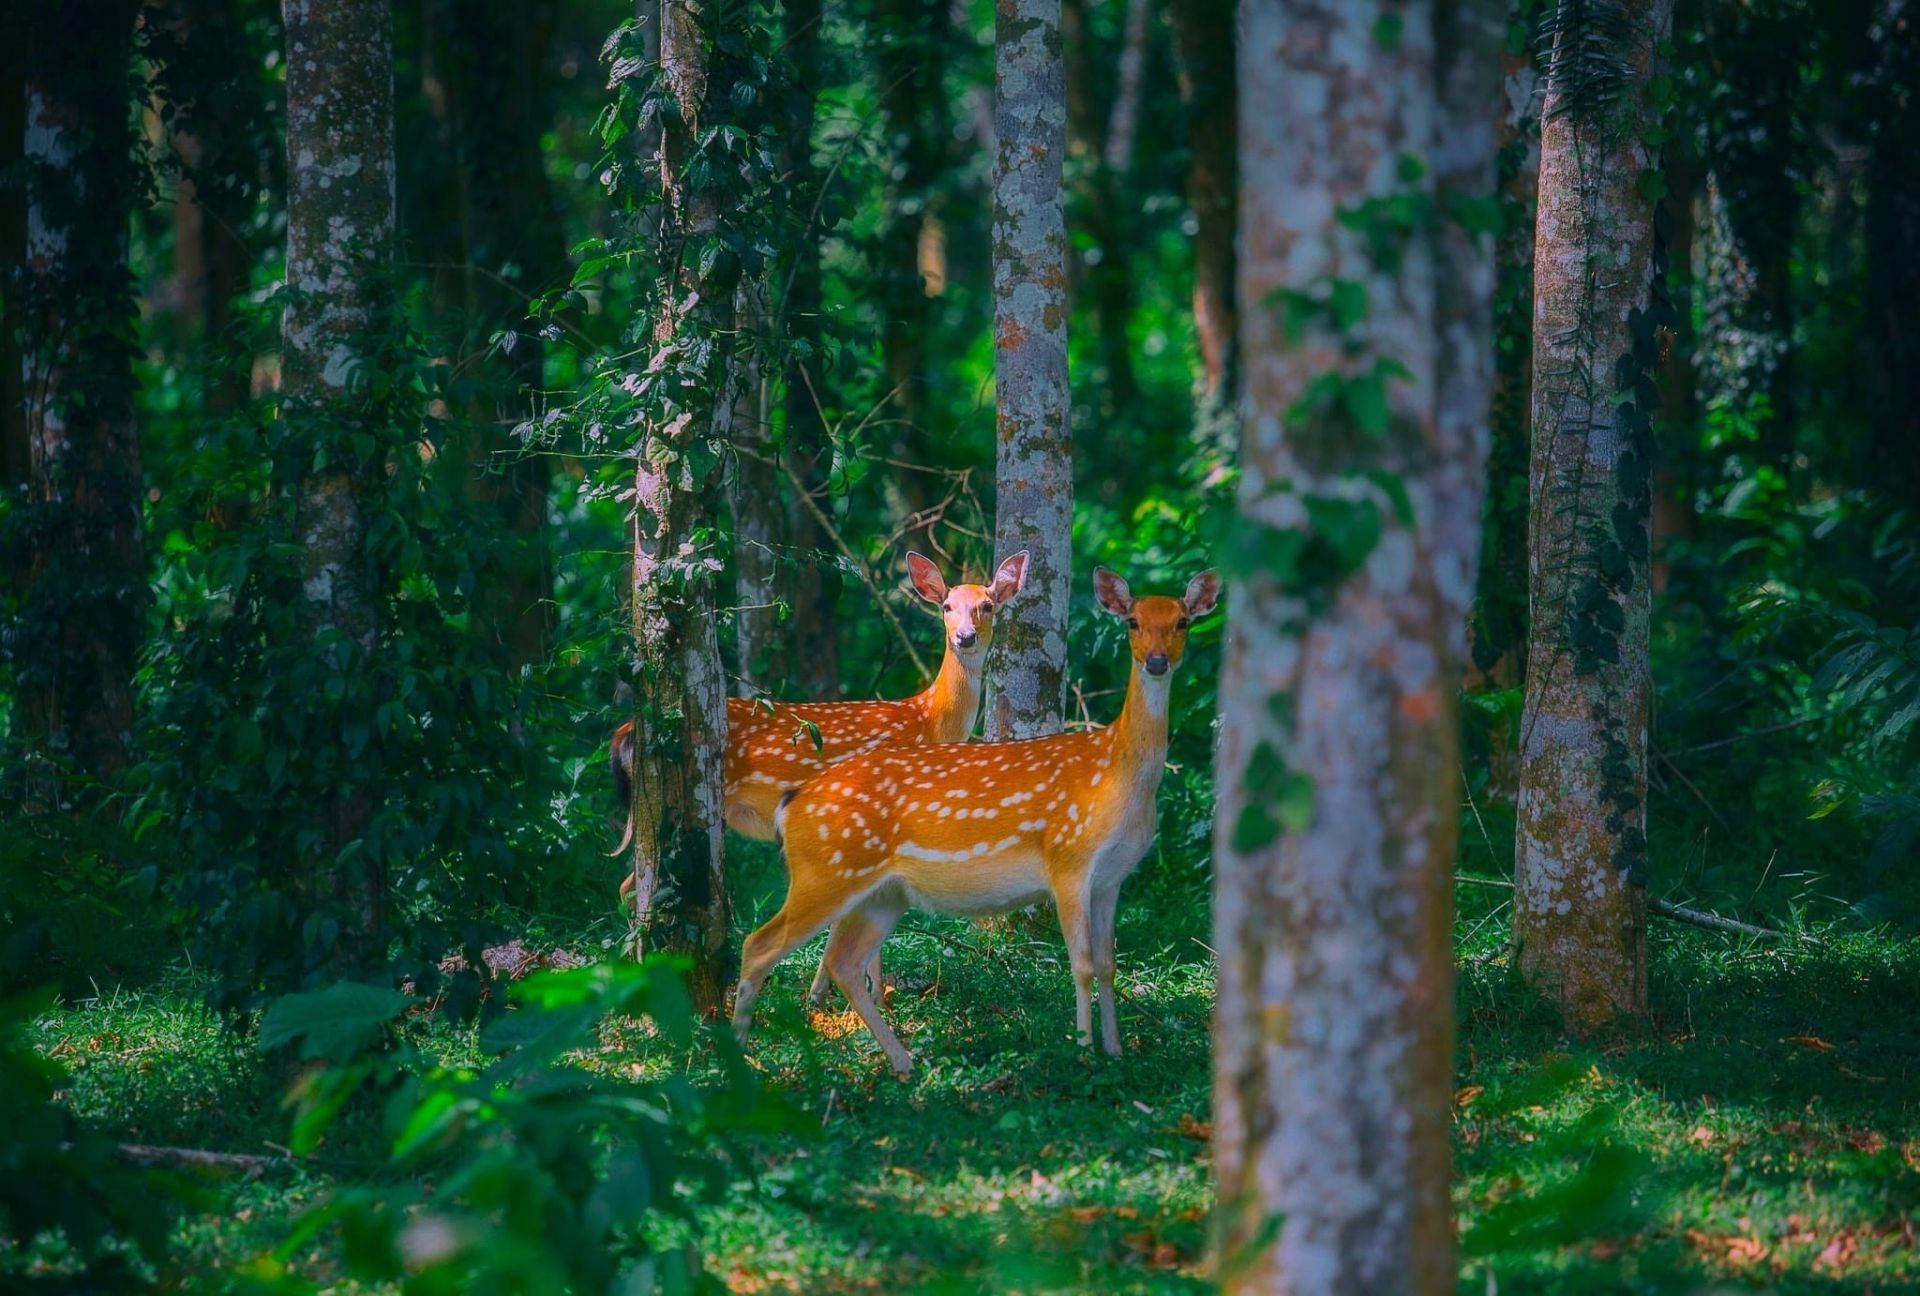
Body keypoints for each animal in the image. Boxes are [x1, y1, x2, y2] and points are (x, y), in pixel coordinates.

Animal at [725, 564, 1221, 1075]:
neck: (1117, 777)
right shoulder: (1068, 858)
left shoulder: (1111, 877)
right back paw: (739, 1056)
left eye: (1183, 621)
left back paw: (901, 1060)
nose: (1157, 662)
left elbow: (1107, 964)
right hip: (823, 873)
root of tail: (793, 801)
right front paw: (1083, 1050)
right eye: (1132, 623)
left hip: (881, 892)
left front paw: (1116, 1050)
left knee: (845, 960)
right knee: (759, 945)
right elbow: (1081, 964)